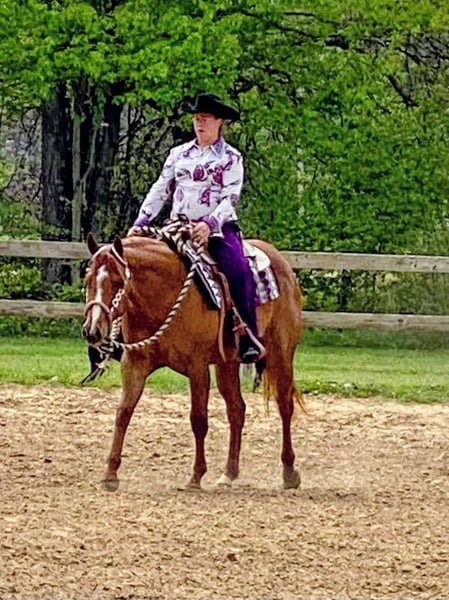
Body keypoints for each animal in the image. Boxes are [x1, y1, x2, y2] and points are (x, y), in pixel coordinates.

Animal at [82, 232, 304, 491]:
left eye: (118, 281)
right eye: (88, 279)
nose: (93, 330)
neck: (162, 296)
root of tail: (283, 264)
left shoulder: (197, 367)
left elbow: (198, 420)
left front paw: (196, 476)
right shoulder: (134, 365)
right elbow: (123, 414)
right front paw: (110, 475)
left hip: (281, 354)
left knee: (285, 406)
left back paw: (289, 472)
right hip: (227, 363)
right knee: (237, 409)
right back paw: (229, 473)